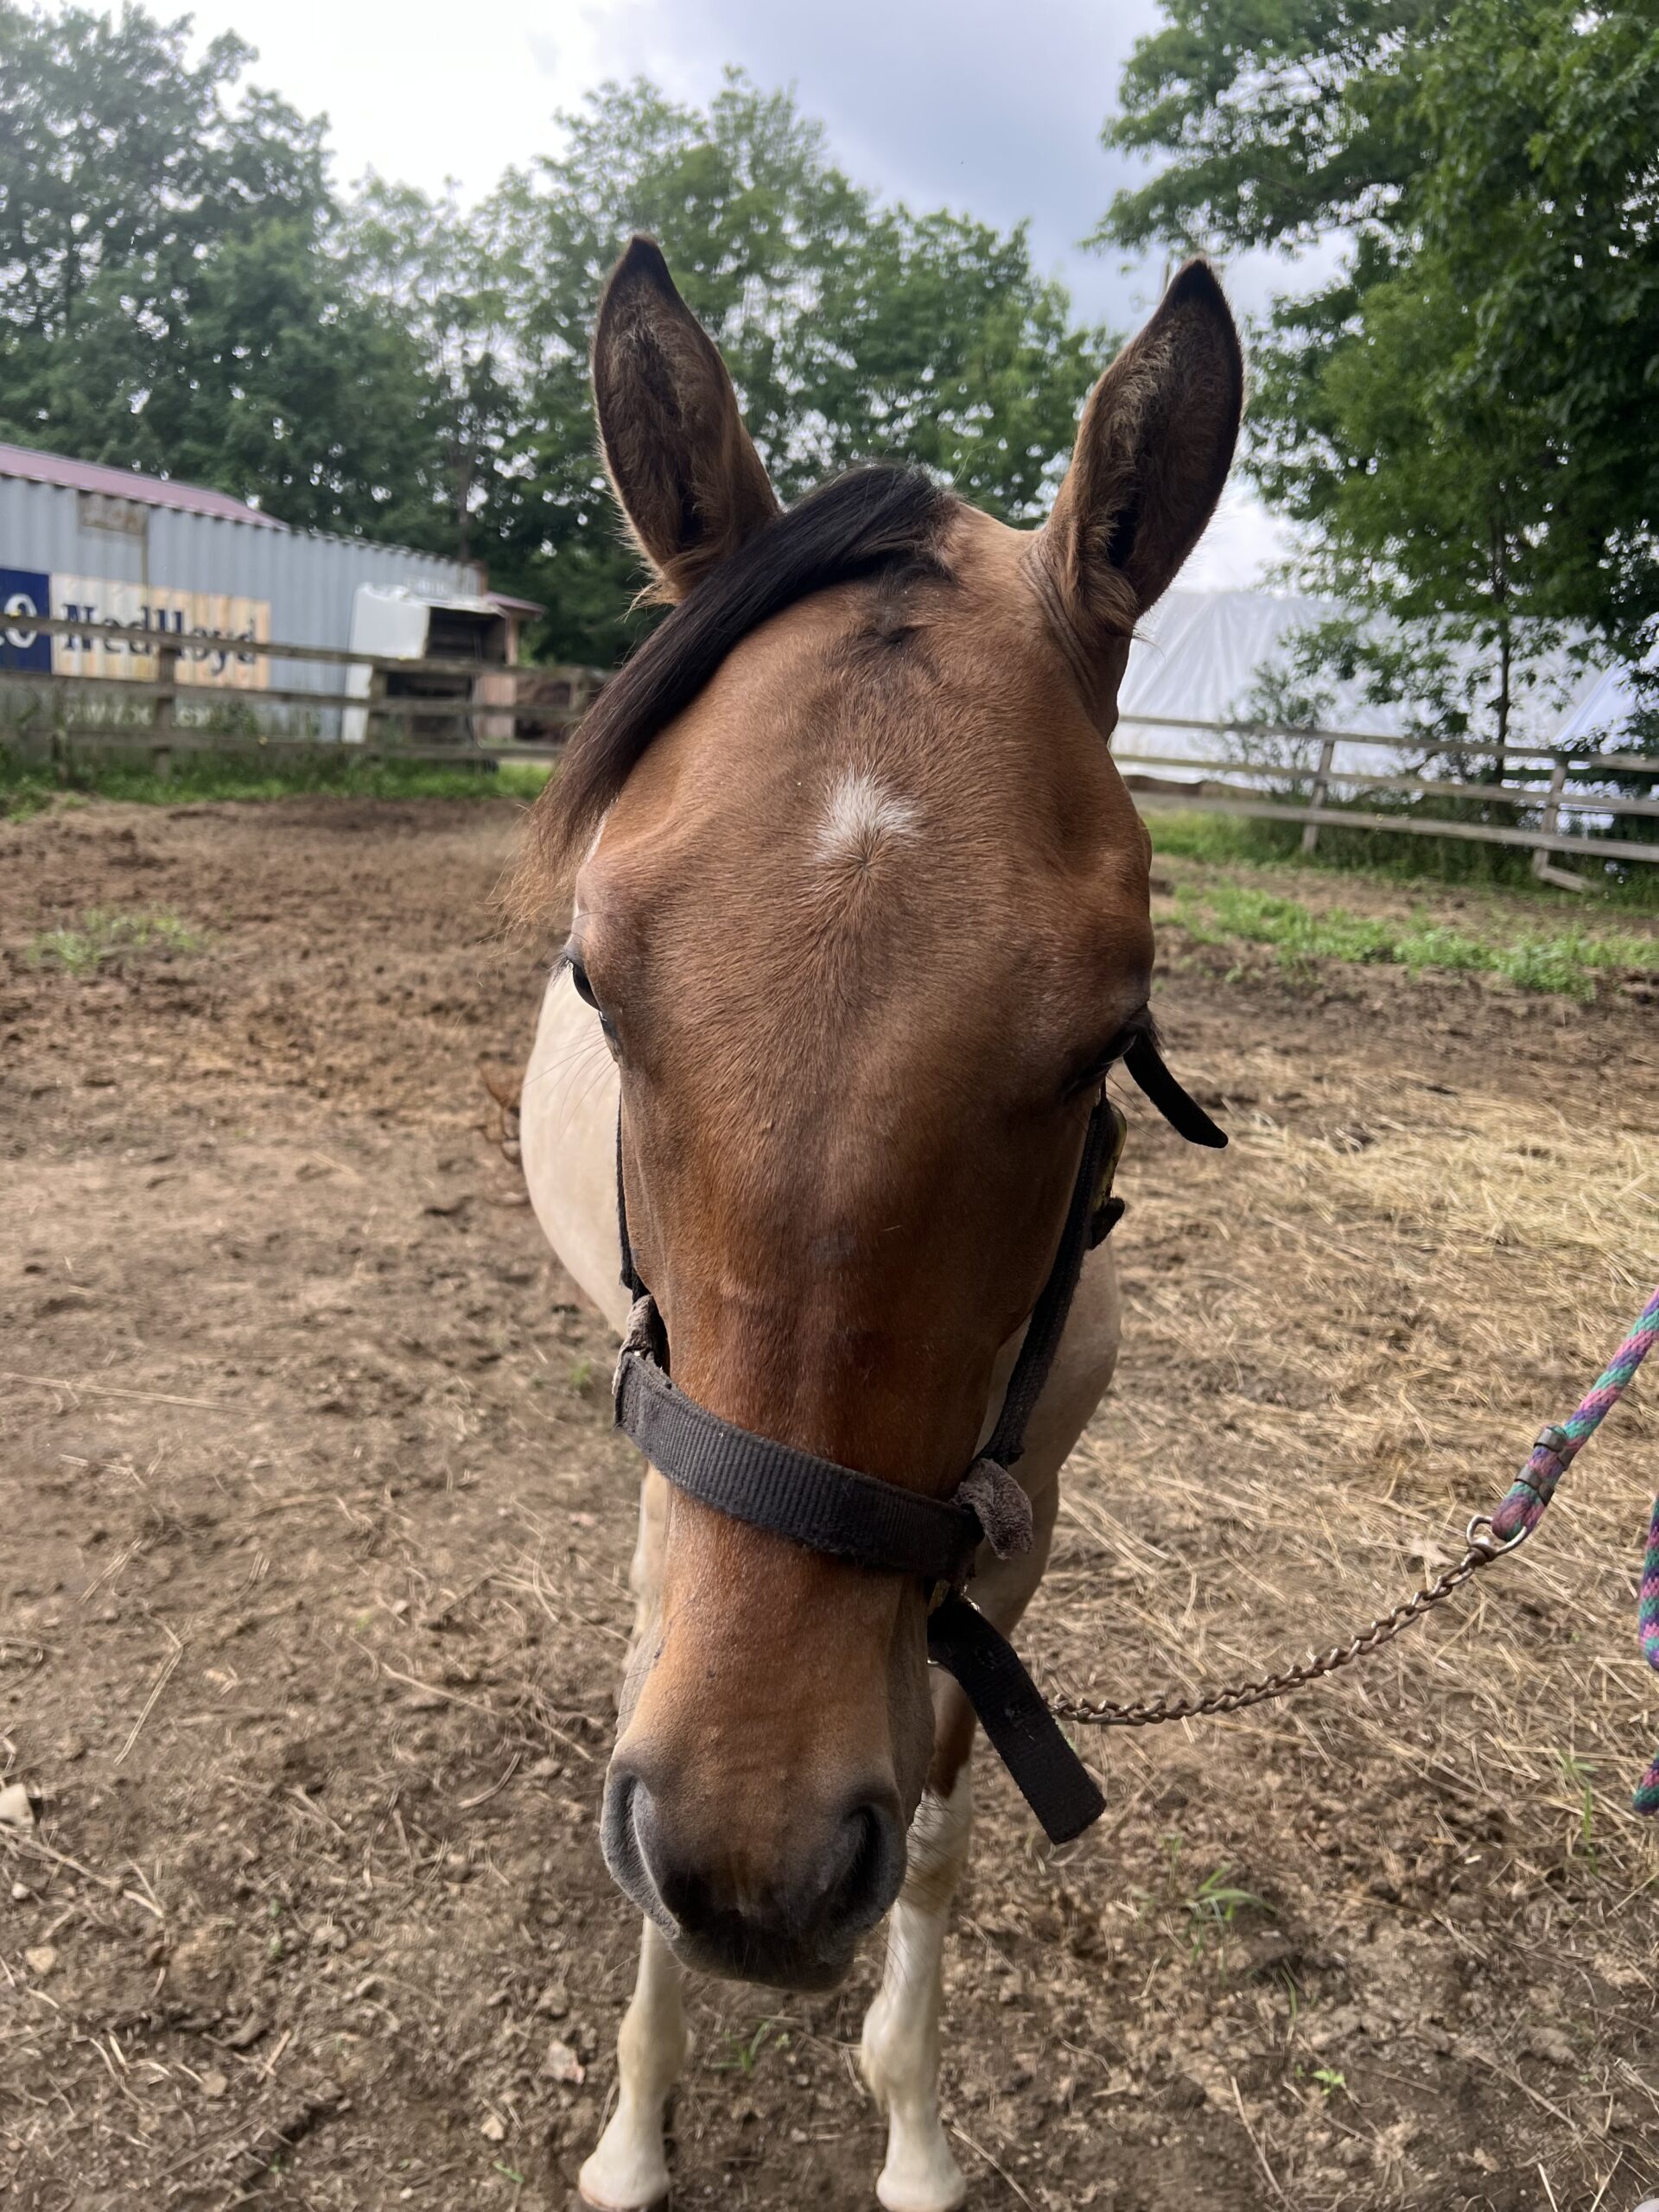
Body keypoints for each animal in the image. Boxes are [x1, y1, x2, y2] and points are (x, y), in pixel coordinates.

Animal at [515, 235, 1242, 2212]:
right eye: (600, 976)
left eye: (1104, 1036)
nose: (754, 1878)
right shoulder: (676, 1470)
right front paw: (633, 2125)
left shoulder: (1015, 1519)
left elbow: (935, 1830)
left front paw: (913, 2124)